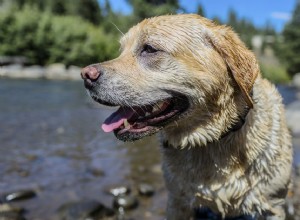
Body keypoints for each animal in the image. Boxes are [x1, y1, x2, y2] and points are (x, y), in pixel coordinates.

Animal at [81, 14, 292, 219]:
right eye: (121, 50)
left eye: (149, 49)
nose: (86, 75)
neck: (213, 140)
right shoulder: (177, 201)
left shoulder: (273, 205)